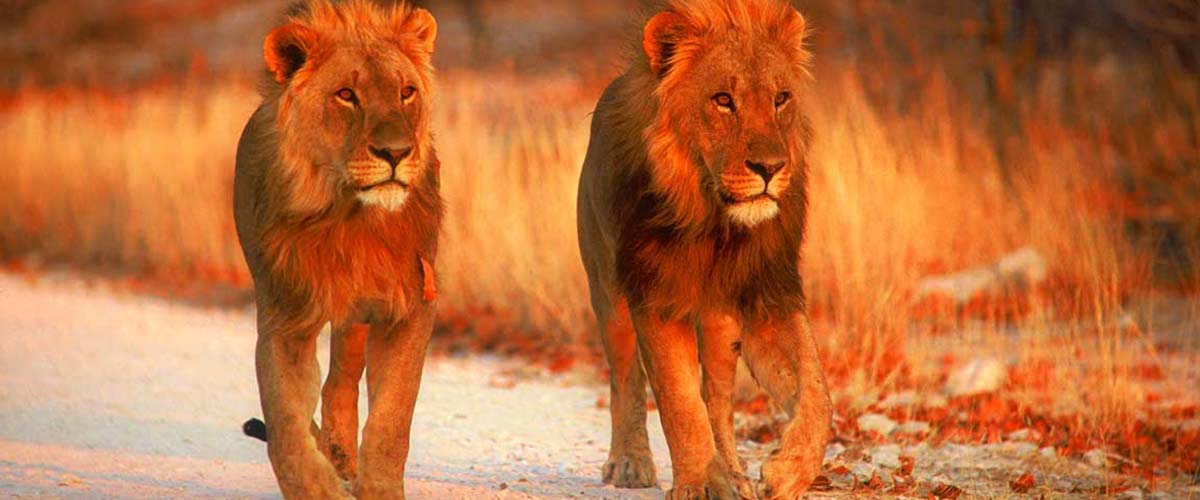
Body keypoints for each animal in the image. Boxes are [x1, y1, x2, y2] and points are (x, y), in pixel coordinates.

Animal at [232, 1, 441, 499]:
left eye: (406, 92)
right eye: (347, 95)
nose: (396, 152)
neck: (349, 219)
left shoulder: (411, 306)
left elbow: (392, 420)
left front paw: (378, 488)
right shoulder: (285, 318)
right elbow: (285, 429)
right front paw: (319, 487)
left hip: (358, 316)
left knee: (342, 381)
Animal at [576, 1, 832, 499]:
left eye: (781, 98)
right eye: (723, 100)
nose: (770, 167)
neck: (715, 227)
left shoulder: (769, 294)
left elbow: (816, 393)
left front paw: (785, 472)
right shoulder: (655, 297)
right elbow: (679, 402)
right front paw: (698, 482)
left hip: (721, 324)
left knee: (718, 399)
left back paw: (733, 471)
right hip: (608, 292)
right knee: (625, 379)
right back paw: (631, 462)